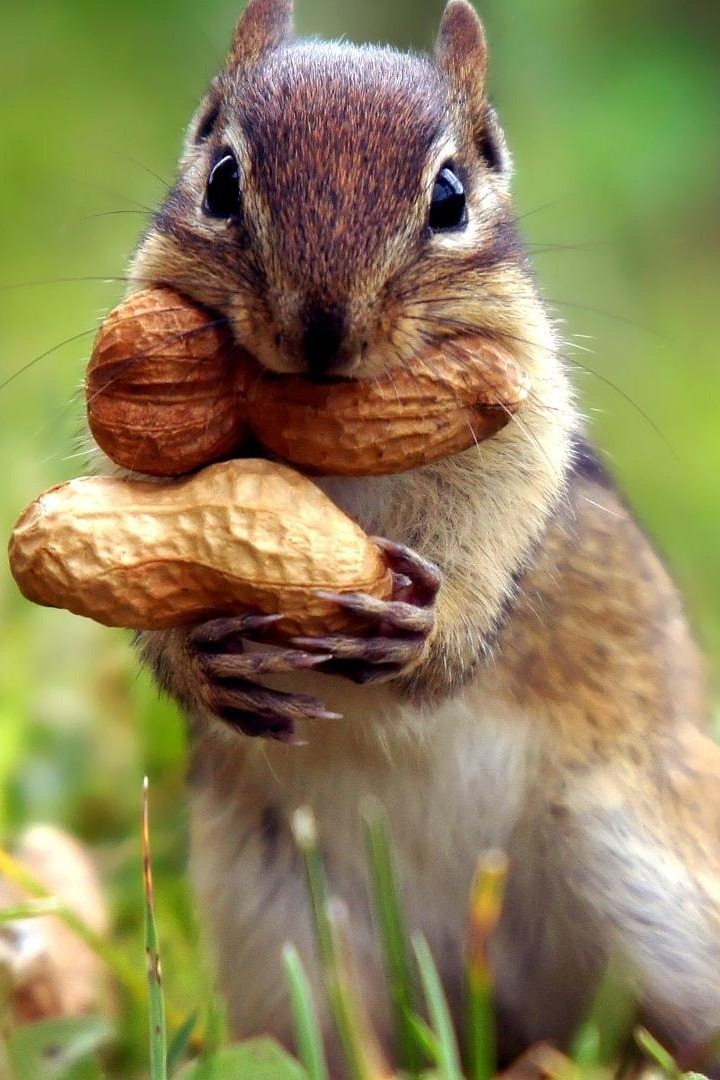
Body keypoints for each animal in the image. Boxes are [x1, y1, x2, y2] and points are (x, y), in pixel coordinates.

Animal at [113, 0, 720, 1071]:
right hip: (285, 934)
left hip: (657, 892)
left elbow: (492, 537)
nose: (322, 330)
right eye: (221, 180)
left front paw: (427, 632)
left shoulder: (522, 426)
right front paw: (199, 658)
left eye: (449, 197)